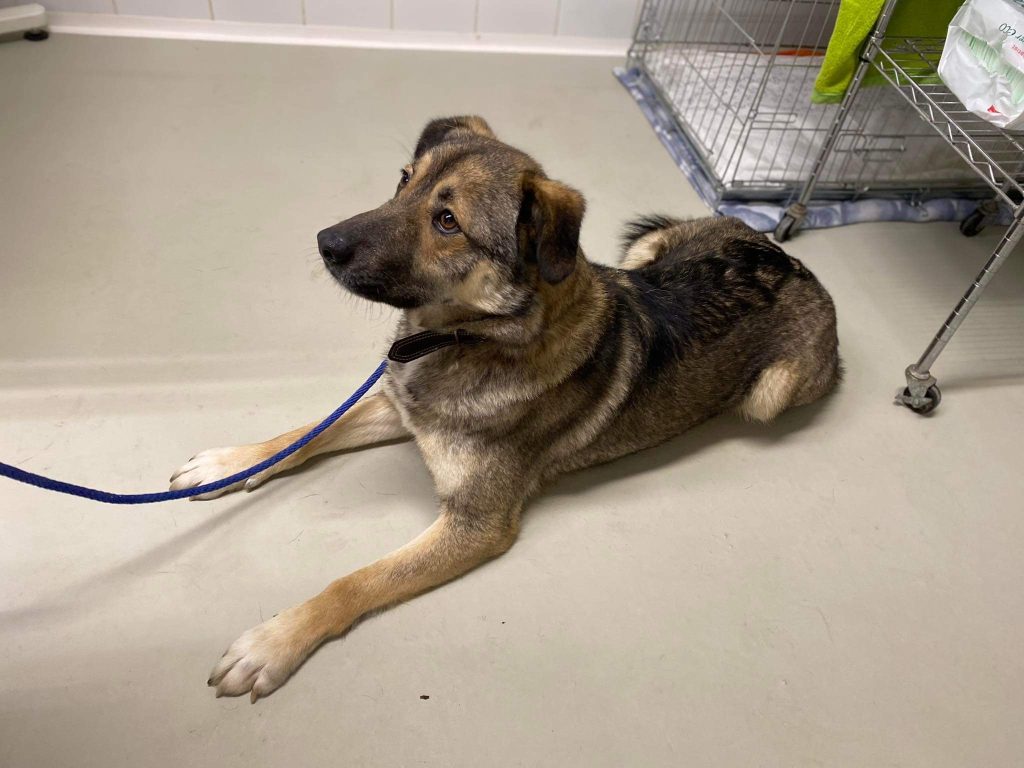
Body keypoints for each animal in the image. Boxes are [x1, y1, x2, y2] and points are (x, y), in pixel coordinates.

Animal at [169, 116, 841, 702]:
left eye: (447, 221)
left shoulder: (475, 524)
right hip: (647, 248)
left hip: (771, 393)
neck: (468, 336)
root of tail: (793, 262)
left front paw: (273, 642)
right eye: (403, 179)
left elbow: (355, 580)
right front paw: (230, 463)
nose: (323, 242)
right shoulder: (397, 403)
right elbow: (304, 434)